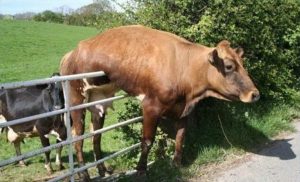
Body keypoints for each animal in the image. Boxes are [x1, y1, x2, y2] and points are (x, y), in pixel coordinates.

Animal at [59, 25, 258, 181]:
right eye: (229, 66)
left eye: (242, 64)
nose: (255, 94)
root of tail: (71, 53)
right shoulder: (150, 107)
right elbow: (147, 141)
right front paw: (141, 170)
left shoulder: (184, 110)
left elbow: (180, 137)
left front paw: (176, 164)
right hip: (76, 99)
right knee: (77, 137)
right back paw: (83, 175)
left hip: (99, 100)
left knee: (96, 136)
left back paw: (102, 170)